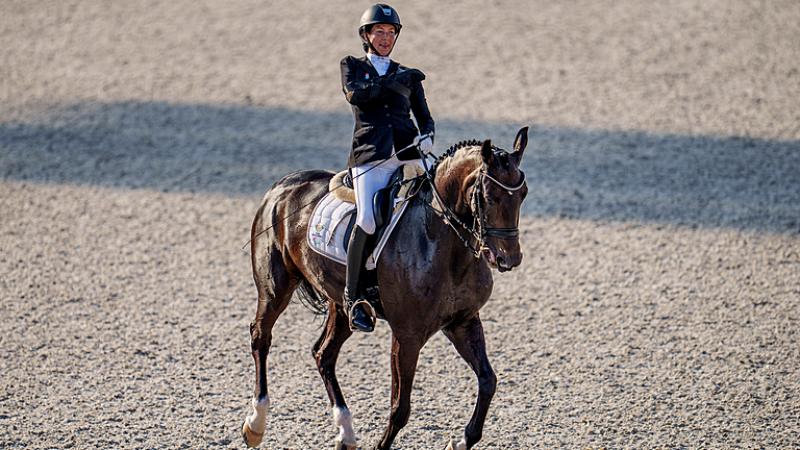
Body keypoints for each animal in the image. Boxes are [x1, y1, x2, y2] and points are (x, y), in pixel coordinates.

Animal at [242, 125, 532, 448]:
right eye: (489, 196)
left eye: (522, 194)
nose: (509, 258)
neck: (440, 243)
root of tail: (283, 185)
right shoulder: (407, 336)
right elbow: (400, 407)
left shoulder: (463, 322)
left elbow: (488, 381)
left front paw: (461, 440)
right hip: (275, 288)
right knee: (261, 337)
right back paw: (255, 424)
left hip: (341, 305)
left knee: (323, 354)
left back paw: (346, 431)